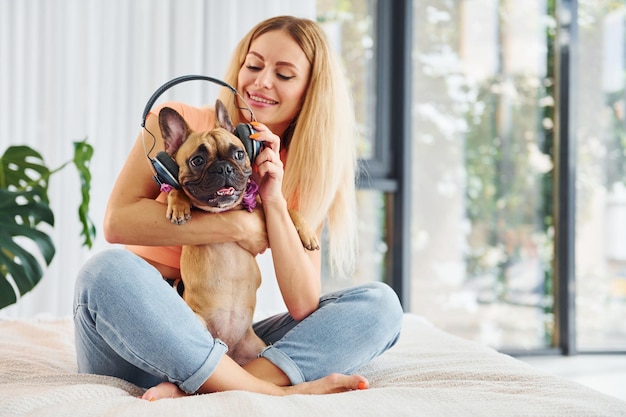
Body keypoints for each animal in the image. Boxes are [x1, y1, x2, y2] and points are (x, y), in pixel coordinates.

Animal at [158, 100, 320, 364]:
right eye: (197, 161)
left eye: (239, 154)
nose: (224, 168)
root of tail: (230, 349)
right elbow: (177, 189)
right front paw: (179, 205)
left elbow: (289, 209)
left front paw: (307, 234)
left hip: (256, 347)